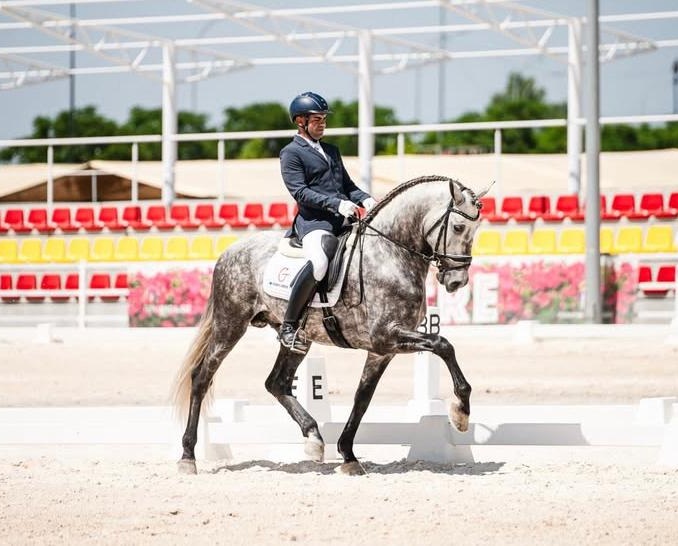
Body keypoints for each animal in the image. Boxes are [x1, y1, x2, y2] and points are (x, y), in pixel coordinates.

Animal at [173, 175, 489, 475]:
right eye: (458, 227)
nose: (457, 282)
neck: (390, 254)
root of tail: (230, 250)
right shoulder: (385, 336)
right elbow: (443, 345)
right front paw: (461, 413)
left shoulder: (382, 349)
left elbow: (363, 398)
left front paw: (348, 456)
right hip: (230, 324)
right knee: (201, 378)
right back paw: (187, 456)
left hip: (298, 339)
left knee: (277, 382)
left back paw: (313, 437)